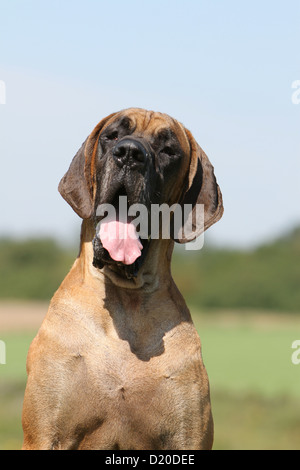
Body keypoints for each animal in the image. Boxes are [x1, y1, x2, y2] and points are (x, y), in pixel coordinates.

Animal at [21, 108, 223, 450]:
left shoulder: (187, 436)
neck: (125, 300)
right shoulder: (46, 433)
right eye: (112, 135)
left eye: (168, 150)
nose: (129, 154)